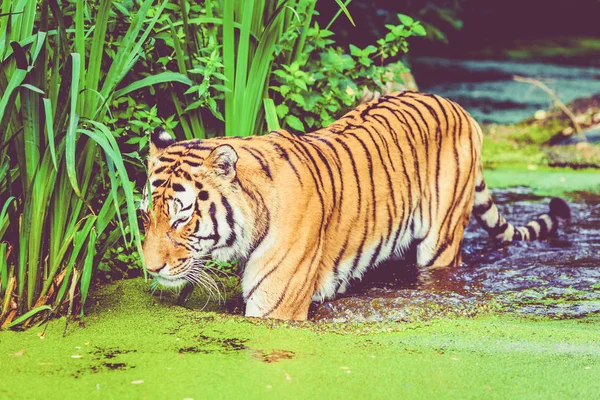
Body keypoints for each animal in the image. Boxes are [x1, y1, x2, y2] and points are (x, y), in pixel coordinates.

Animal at [138, 91, 568, 322]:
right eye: (145, 216)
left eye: (182, 218)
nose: (151, 268)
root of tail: (457, 107)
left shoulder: (276, 308)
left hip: (441, 242)